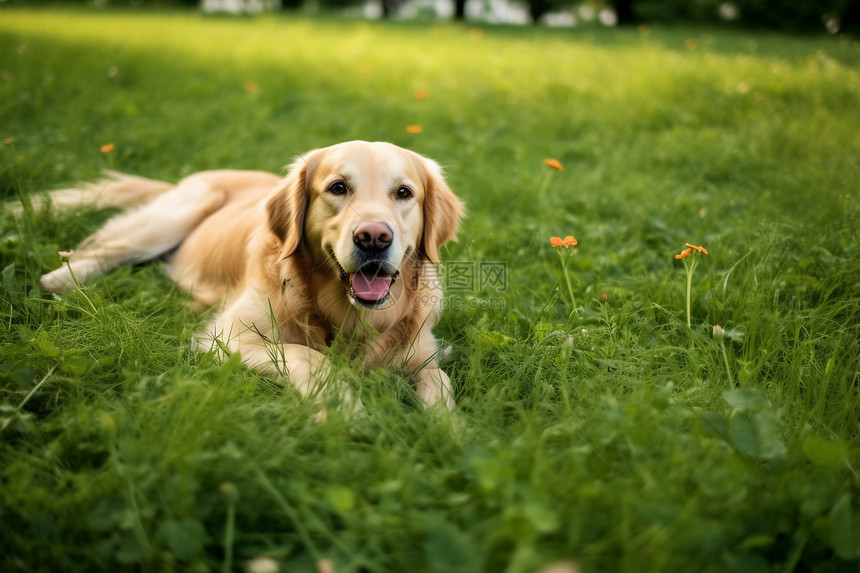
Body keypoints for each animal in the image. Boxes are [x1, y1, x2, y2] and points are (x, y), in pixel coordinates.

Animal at [37, 143, 464, 412]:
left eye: (404, 193)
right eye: (338, 188)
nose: (373, 237)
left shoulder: (423, 353)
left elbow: (441, 383)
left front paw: (449, 432)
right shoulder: (225, 336)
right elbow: (306, 354)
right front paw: (344, 407)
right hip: (172, 218)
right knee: (96, 252)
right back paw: (59, 284)